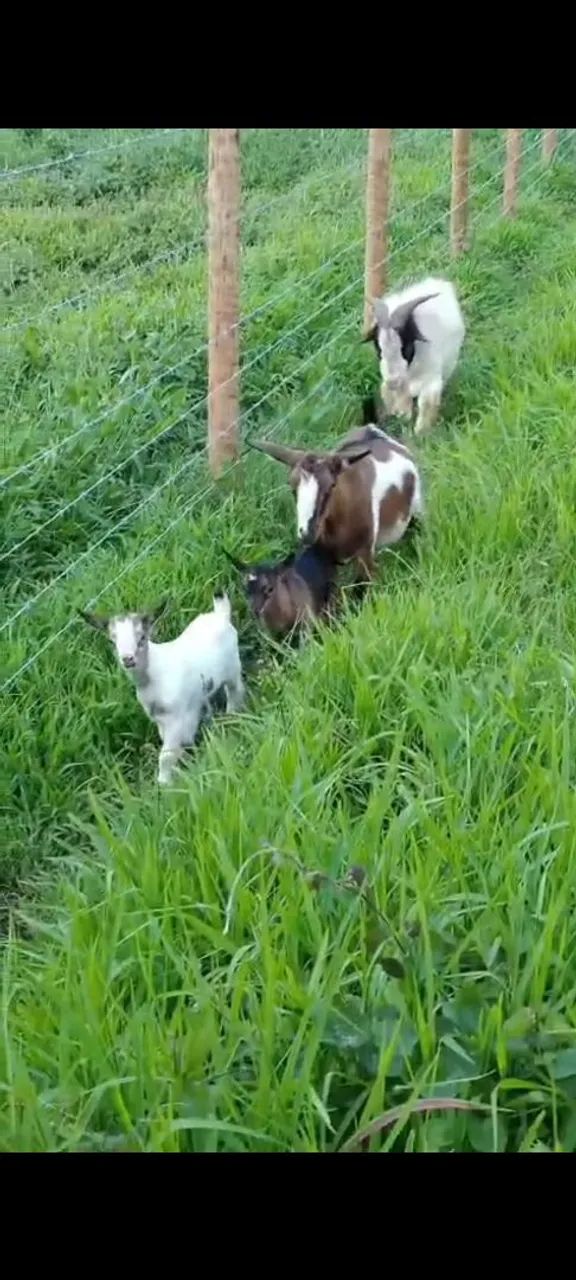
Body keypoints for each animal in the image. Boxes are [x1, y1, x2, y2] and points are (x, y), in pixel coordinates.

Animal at [78, 595, 244, 785]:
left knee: (235, 690)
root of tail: (220, 614)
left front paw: (164, 784)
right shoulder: (160, 718)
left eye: (142, 637)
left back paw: (232, 716)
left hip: (233, 668)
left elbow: (166, 755)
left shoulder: (175, 717)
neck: (154, 675)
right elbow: (172, 746)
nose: (128, 659)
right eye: (112, 641)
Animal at [364, 276, 465, 435]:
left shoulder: (431, 380)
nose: (393, 381)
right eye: (378, 349)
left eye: (405, 347)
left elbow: (426, 403)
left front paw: (421, 432)